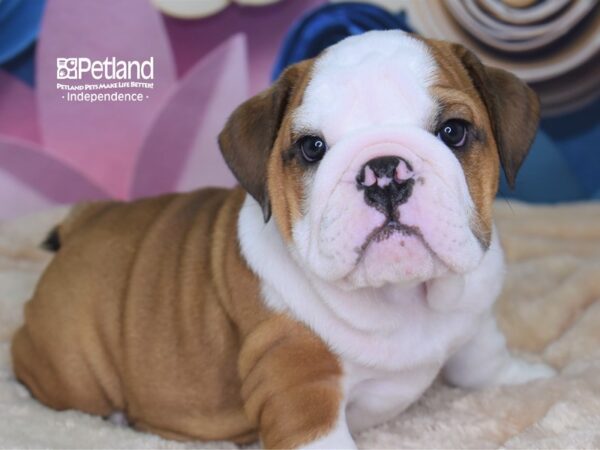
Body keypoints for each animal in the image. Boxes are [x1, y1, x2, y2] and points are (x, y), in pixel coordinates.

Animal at [10, 29, 552, 448]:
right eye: (312, 148)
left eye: (453, 131)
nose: (383, 172)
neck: (404, 297)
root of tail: (83, 223)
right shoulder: (299, 385)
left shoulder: (474, 314)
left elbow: (483, 359)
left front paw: (528, 377)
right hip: (72, 367)